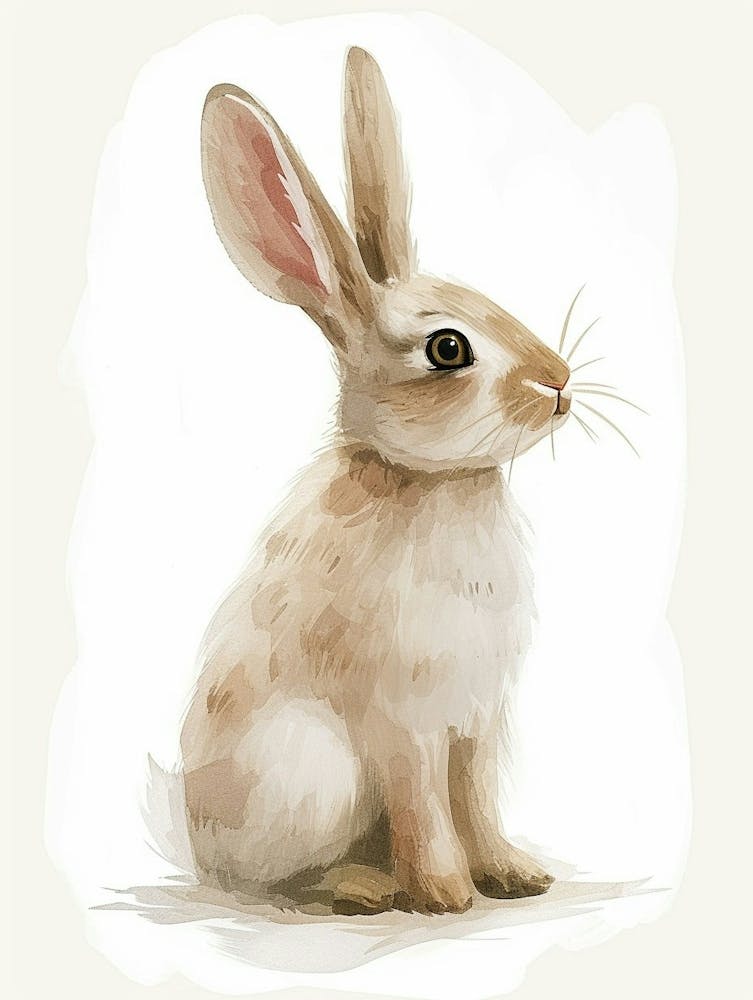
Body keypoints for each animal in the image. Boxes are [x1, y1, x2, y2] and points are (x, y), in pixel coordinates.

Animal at [180, 46, 572, 915]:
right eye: (448, 349)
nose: (559, 383)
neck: (432, 482)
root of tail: (195, 847)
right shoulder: (407, 722)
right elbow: (426, 806)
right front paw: (448, 895)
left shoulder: (477, 723)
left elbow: (476, 801)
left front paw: (514, 876)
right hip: (310, 774)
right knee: (283, 881)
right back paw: (364, 885)